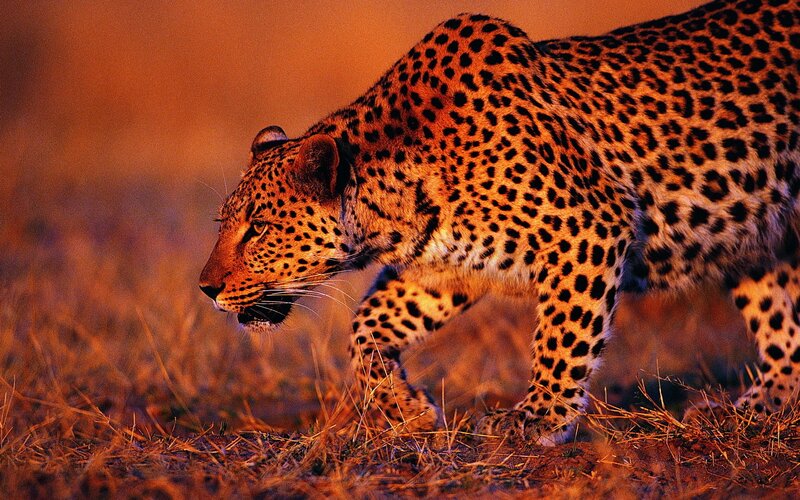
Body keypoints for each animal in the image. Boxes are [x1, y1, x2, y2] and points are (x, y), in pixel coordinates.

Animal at [200, 0, 800, 445]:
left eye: (257, 228)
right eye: (227, 223)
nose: (206, 289)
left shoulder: (589, 230)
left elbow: (562, 335)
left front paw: (537, 420)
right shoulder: (441, 272)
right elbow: (366, 327)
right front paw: (407, 408)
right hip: (764, 239)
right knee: (783, 326)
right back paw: (753, 410)